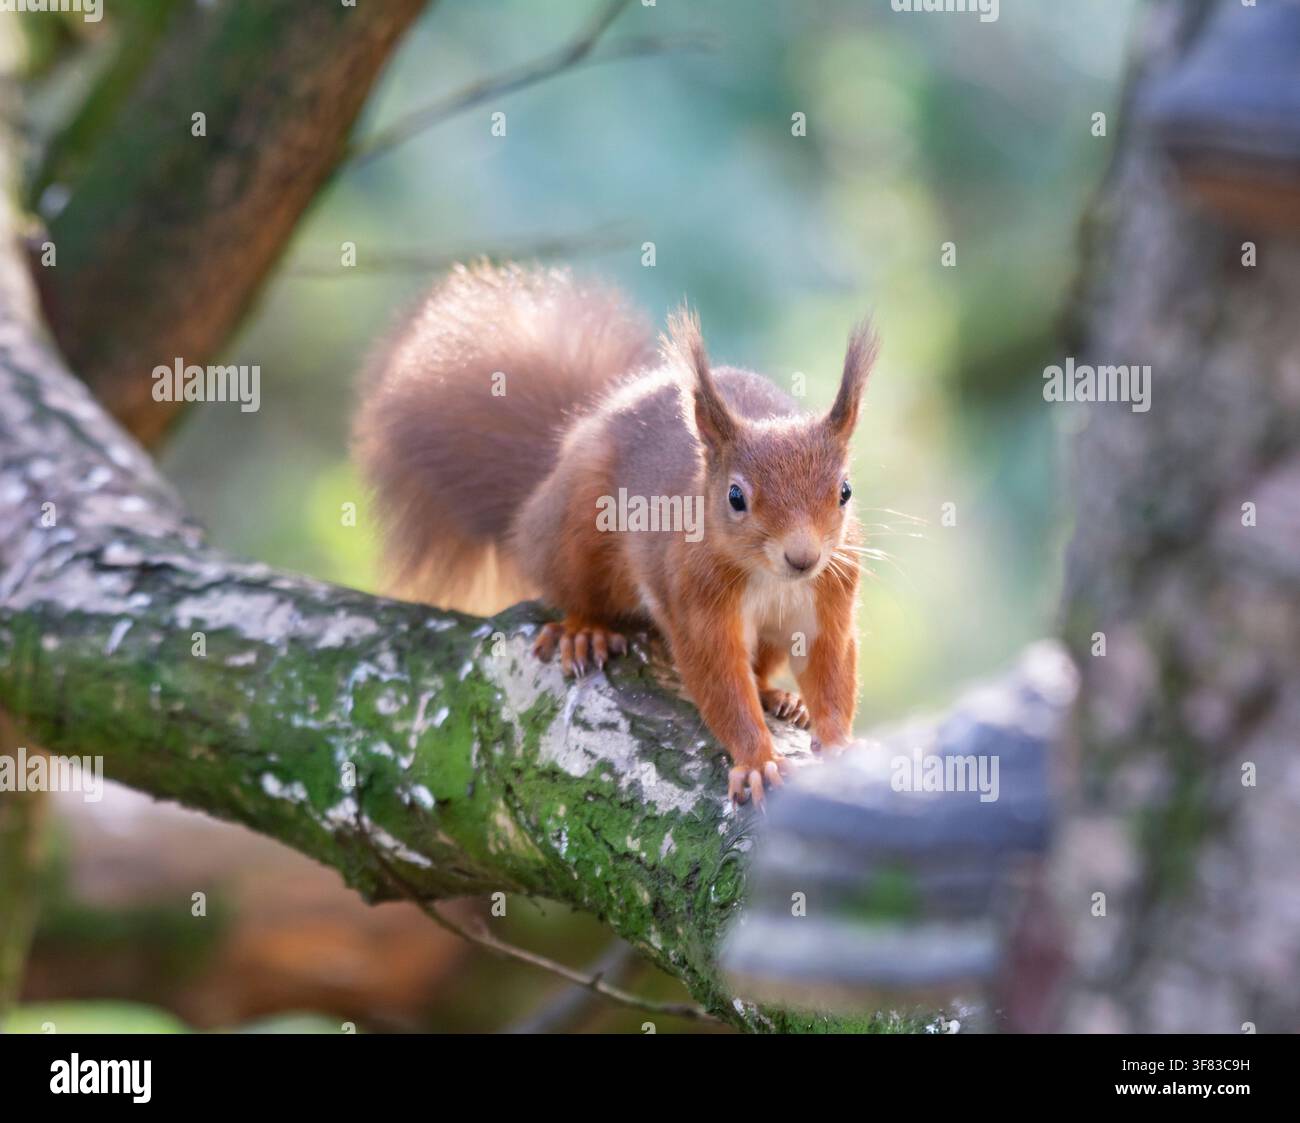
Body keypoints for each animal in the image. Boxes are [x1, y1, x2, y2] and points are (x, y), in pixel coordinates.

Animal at [354, 262, 876, 804]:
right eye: (735, 497)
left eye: (845, 491)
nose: (803, 557)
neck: (771, 577)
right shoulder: (696, 600)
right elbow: (721, 683)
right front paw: (757, 761)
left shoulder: (831, 593)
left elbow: (831, 669)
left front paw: (838, 743)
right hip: (578, 532)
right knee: (572, 590)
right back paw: (585, 631)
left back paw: (780, 697)